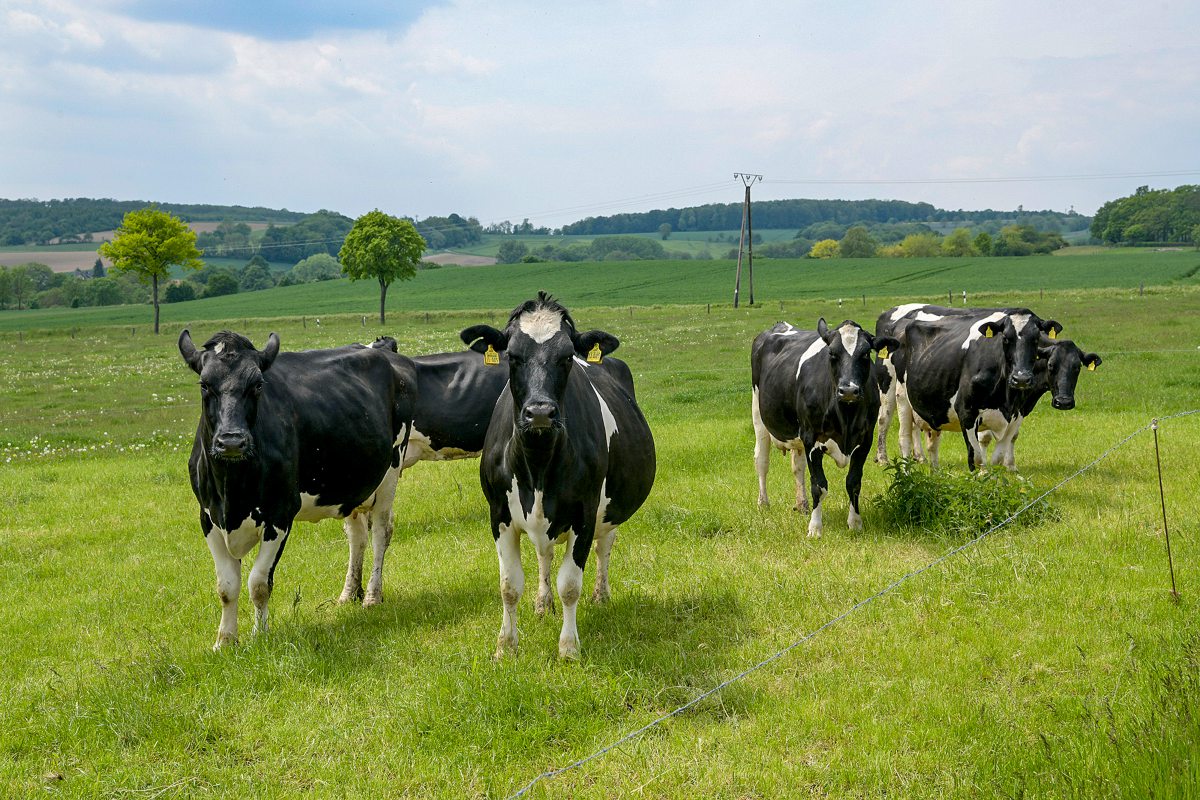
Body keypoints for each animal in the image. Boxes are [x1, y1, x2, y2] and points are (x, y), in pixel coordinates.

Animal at [178, 330, 417, 650]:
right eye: (204, 384)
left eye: (257, 385)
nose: (231, 441)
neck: (232, 492)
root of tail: (382, 349)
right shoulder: (209, 519)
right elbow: (226, 587)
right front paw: (225, 641)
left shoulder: (280, 516)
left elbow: (258, 583)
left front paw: (260, 636)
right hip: (351, 485)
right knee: (357, 537)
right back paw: (348, 594)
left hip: (391, 469)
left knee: (381, 533)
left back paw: (371, 596)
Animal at [461, 293, 655, 659]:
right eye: (512, 356)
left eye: (566, 357)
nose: (539, 412)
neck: (537, 466)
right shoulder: (499, 514)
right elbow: (509, 585)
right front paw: (506, 646)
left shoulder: (584, 514)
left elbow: (570, 585)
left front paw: (568, 648)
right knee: (544, 555)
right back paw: (542, 604)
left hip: (610, 508)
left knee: (604, 547)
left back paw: (601, 595)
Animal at [751, 319, 898, 538]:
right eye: (832, 353)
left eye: (865, 353)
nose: (848, 390)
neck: (846, 417)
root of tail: (780, 325)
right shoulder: (812, 439)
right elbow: (819, 485)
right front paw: (815, 528)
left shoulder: (865, 440)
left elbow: (854, 482)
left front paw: (855, 523)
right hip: (759, 415)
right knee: (761, 460)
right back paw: (763, 503)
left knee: (797, 466)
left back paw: (802, 505)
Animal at [888, 309, 1062, 471]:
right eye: (1005, 338)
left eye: (1036, 339)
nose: (1021, 379)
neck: (1005, 398)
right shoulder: (966, 411)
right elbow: (977, 458)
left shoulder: (1016, 415)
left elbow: (997, 458)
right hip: (902, 399)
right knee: (904, 439)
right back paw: (905, 473)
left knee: (933, 443)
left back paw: (935, 473)